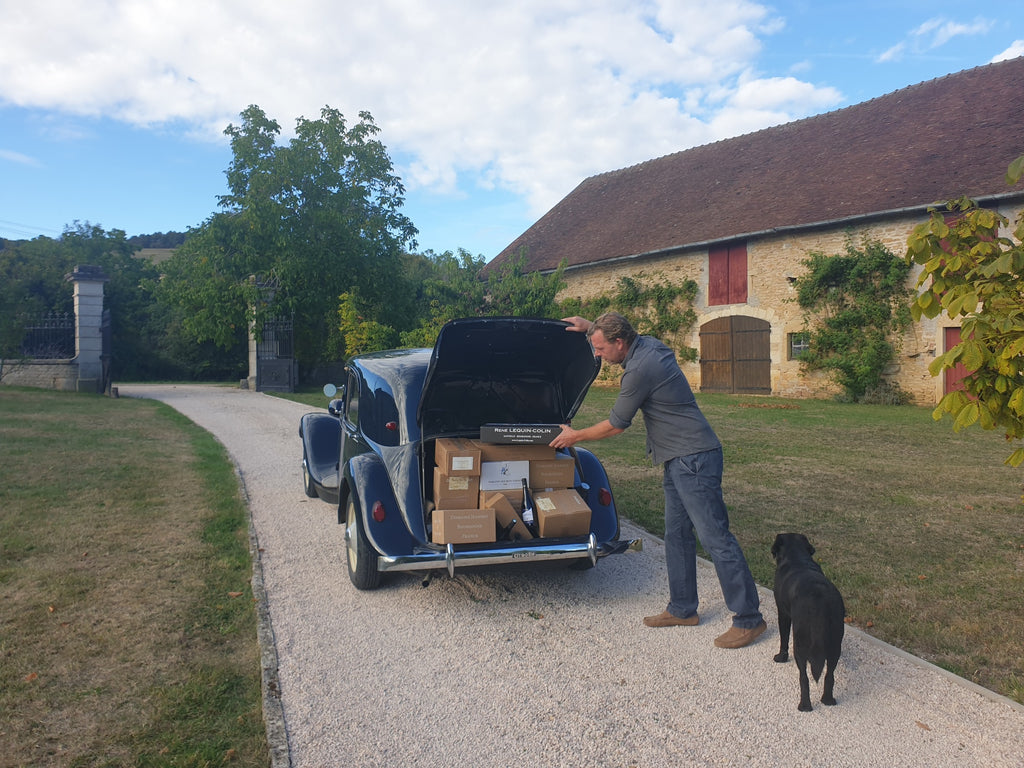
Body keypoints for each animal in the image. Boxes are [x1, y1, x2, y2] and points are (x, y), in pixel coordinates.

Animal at [770, 532, 843, 712]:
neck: (797, 557)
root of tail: (819, 599)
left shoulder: (783, 613)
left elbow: (783, 638)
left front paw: (780, 657)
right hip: (835, 644)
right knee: (829, 675)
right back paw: (828, 700)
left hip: (801, 644)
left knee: (804, 677)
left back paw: (804, 705)